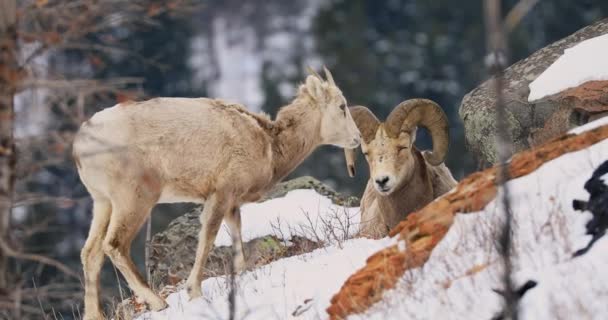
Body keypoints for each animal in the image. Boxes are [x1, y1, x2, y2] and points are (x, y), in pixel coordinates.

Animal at [72, 68, 358, 320]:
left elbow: (237, 235)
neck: (268, 146)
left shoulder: (232, 203)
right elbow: (208, 237)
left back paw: (94, 314)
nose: (356, 138)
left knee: (90, 252)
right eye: (342, 106)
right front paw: (194, 291)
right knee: (114, 245)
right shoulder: (221, 193)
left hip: (103, 202)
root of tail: (81, 145)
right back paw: (158, 302)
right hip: (134, 199)